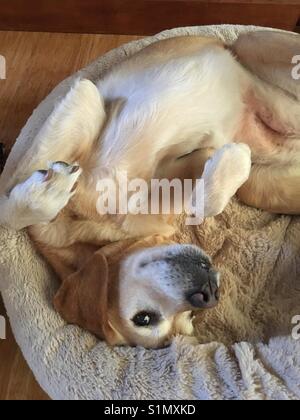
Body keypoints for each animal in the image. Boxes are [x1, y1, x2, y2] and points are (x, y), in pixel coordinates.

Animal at [0, 31, 300, 348]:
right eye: (144, 319)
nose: (208, 293)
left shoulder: (86, 99)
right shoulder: (188, 164)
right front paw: (233, 159)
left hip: (251, 43)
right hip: (261, 178)